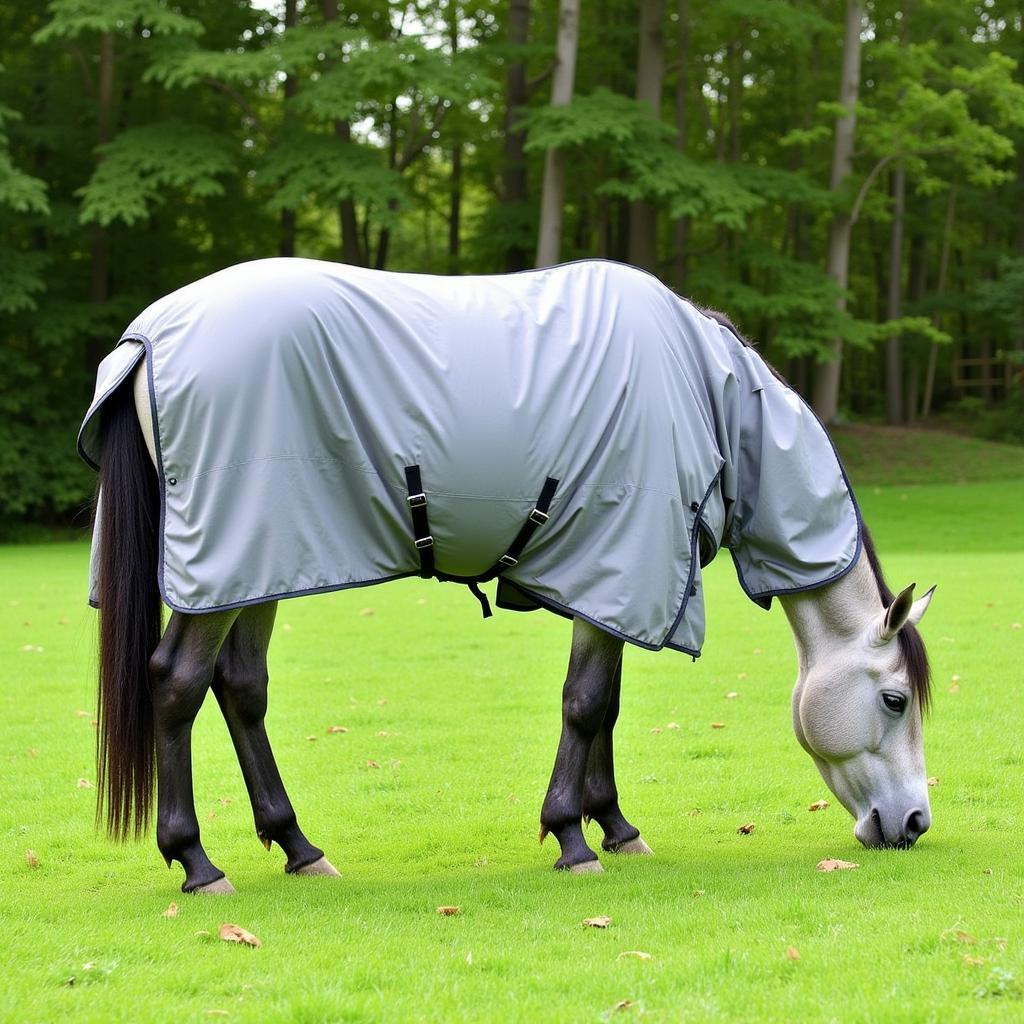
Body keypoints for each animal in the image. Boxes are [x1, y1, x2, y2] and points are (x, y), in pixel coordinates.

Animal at [75, 260, 933, 892]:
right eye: (894, 700)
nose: (915, 824)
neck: (708, 393)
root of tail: (147, 340)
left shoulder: (612, 585)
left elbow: (605, 706)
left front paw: (614, 827)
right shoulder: (621, 565)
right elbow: (585, 705)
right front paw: (572, 837)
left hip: (259, 563)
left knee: (241, 687)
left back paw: (299, 846)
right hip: (224, 561)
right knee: (177, 683)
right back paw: (196, 861)